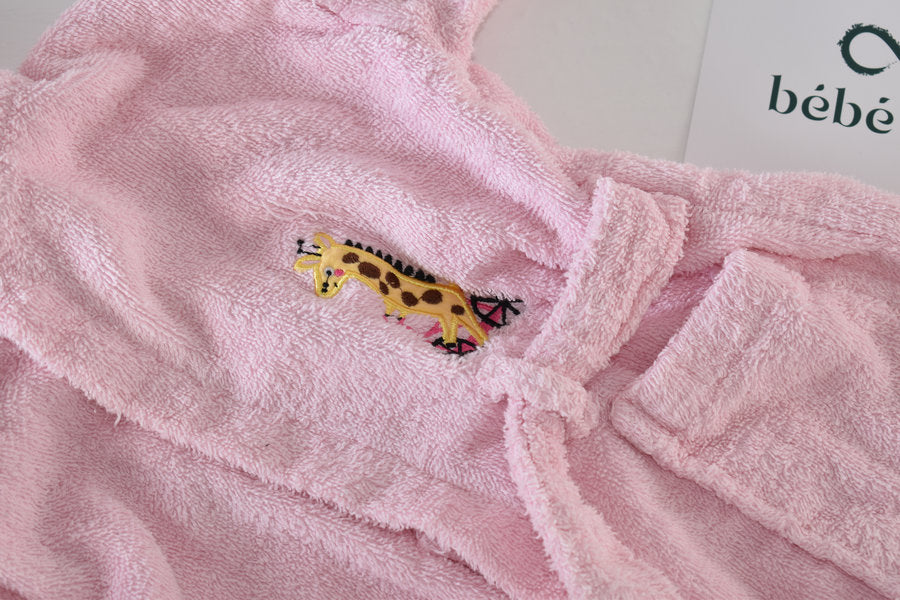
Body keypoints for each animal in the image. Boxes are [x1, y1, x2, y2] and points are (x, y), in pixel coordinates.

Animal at [294, 233, 488, 347]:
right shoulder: (392, 304)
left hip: (454, 314)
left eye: (328, 271)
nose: (323, 291)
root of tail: (459, 297)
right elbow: (392, 314)